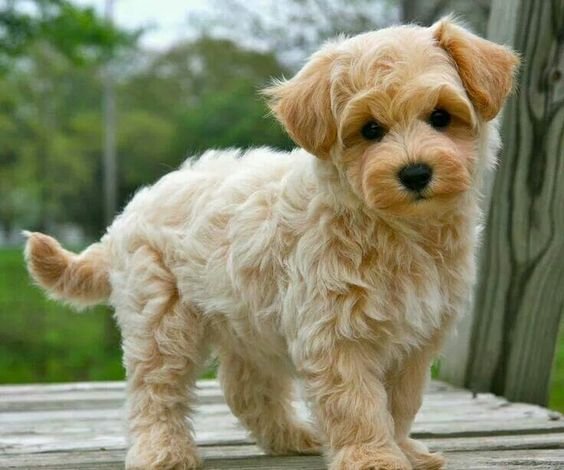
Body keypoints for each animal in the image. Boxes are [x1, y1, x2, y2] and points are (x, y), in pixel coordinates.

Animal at [26, 17, 520, 470]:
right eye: (370, 130)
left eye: (440, 117)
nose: (415, 173)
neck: (396, 229)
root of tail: (128, 214)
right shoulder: (334, 334)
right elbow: (358, 403)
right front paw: (374, 457)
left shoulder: (416, 339)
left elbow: (400, 402)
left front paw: (403, 449)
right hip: (161, 318)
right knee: (156, 390)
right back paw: (162, 452)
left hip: (246, 321)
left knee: (244, 387)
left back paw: (291, 437)